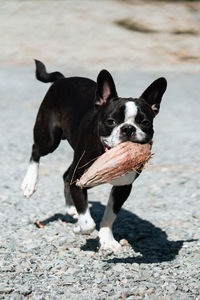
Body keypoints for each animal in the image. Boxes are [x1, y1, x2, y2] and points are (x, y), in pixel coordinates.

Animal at [21, 62, 166, 252]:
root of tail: (62, 79)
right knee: (36, 151)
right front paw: (79, 229)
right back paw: (29, 183)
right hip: (49, 138)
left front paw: (107, 239)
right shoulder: (78, 181)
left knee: (65, 175)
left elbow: (110, 215)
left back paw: (71, 208)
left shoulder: (122, 187)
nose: (128, 128)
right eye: (111, 121)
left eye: (145, 122)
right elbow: (88, 223)